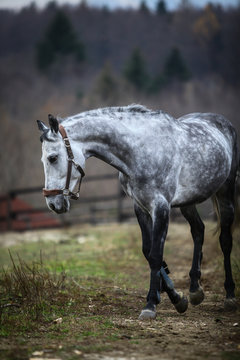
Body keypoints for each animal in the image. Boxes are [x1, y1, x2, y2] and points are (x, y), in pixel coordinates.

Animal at [37, 103, 238, 318]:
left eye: (53, 158)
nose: (52, 203)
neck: (141, 151)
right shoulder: (140, 207)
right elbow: (148, 252)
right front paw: (176, 298)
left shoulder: (160, 207)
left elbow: (156, 254)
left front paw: (150, 305)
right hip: (188, 202)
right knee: (198, 231)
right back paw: (195, 290)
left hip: (225, 192)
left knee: (225, 241)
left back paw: (230, 296)